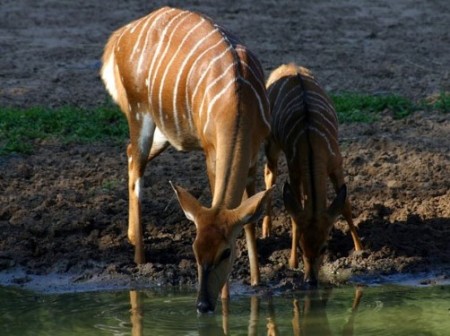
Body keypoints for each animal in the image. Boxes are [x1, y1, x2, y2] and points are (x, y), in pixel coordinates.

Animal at [100, 6, 270, 314]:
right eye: (194, 250)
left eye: (226, 251)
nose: (203, 304)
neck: (238, 104)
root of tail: (121, 35)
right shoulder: (211, 152)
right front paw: (228, 298)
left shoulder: (254, 155)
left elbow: (249, 219)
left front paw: (256, 283)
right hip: (138, 112)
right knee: (137, 168)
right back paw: (140, 257)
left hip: (164, 131)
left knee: (129, 153)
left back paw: (131, 237)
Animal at [264, 64, 362, 288]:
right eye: (301, 246)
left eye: (325, 246)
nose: (310, 279)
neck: (311, 145)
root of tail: (287, 65)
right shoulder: (294, 168)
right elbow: (295, 215)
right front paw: (292, 262)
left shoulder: (336, 163)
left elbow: (345, 205)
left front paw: (360, 248)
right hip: (271, 143)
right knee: (269, 177)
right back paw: (266, 232)